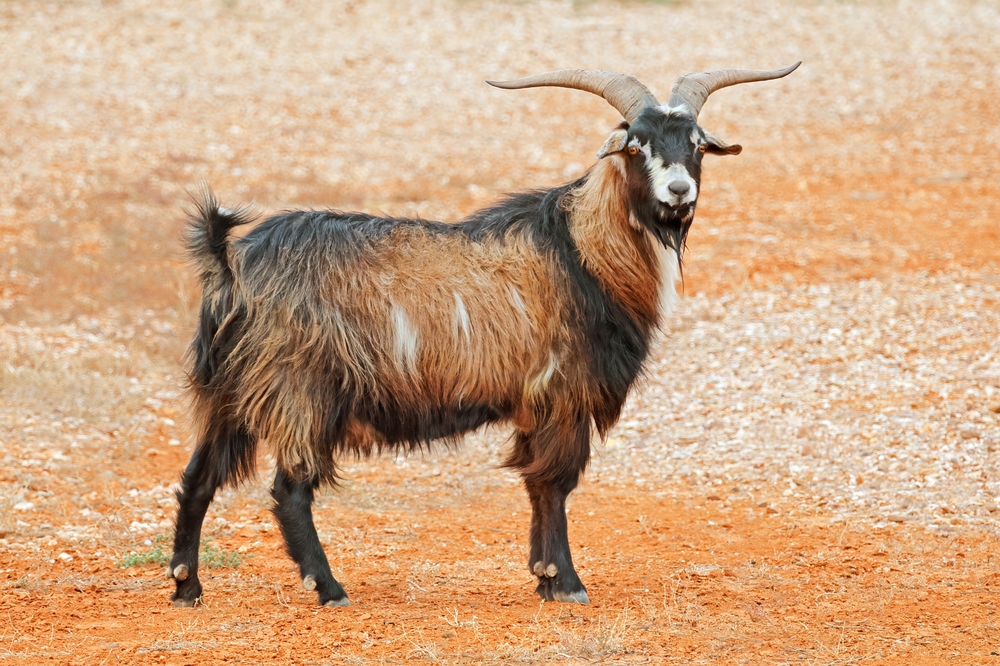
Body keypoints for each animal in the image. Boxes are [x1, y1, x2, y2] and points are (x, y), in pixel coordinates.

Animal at [168, 63, 800, 607]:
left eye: (694, 143)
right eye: (635, 145)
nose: (678, 192)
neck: (581, 251)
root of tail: (230, 263)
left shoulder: (538, 401)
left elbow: (536, 483)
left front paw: (543, 577)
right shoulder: (564, 392)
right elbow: (554, 483)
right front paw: (566, 582)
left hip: (229, 392)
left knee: (198, 478)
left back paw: (185, 585)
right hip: (300, 389)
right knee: (291, 488)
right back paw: (327, 587)